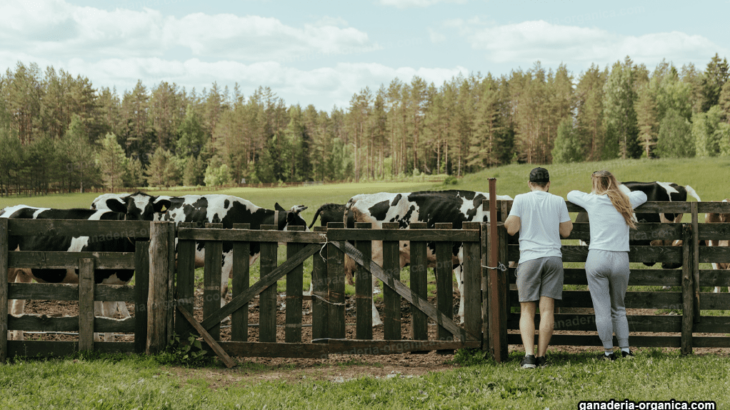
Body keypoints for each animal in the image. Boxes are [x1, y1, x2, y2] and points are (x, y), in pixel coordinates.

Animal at [1, 205, 136, 342]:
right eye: (131, 213)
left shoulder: (114, 283)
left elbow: (109, 316)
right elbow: (98, 314)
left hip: (23, 273)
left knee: (17, 307)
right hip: (9, 271)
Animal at [342, 190, 510, 326]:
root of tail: (360, 197)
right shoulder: (464, 254)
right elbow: (466, 289)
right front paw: (466, 318)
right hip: (373, 257)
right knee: (367, 286)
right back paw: (375, 320)